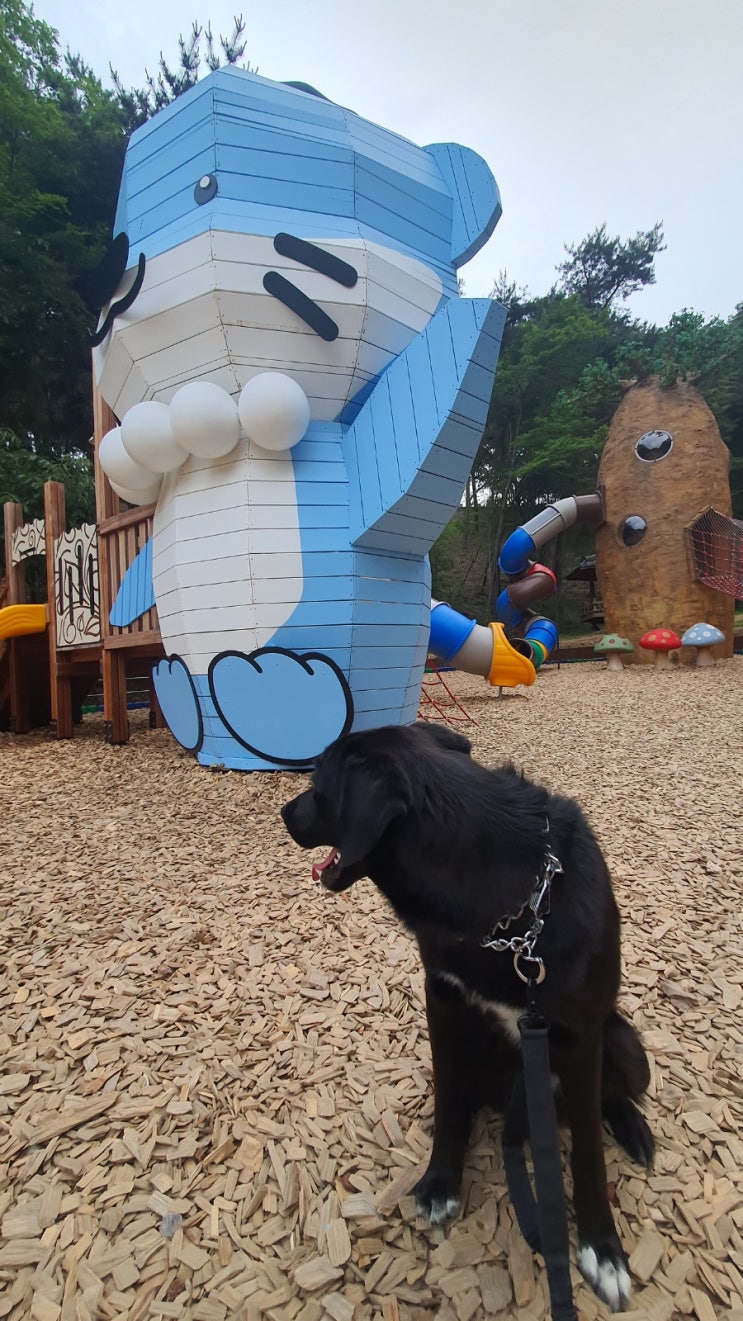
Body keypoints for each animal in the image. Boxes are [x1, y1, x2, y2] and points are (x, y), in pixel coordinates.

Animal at [280, 723, 650, 1310]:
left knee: (609, 1096)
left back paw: (633, 1128)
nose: (284, 814)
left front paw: (602, 1248)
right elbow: (450, 1101)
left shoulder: (580, 1035)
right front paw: (440, 1182)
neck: (509, 910)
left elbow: (589, 1149)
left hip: (624, 1043)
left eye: (318, 782)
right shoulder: (443, 1000)